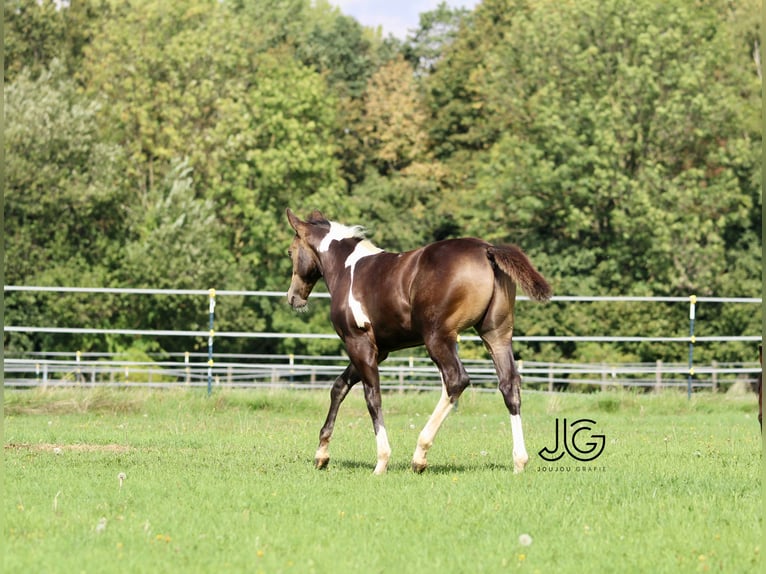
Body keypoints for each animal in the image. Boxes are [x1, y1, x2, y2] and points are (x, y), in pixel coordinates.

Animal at [286, 209, 552, 474]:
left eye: (290, 251)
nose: (293, 297)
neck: (347, 269)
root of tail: (487, 249)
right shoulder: (379, 350)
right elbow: (339, 387)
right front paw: (321, 454)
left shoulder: (358, 343)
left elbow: (372, 397)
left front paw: (382, 461)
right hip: (495, 335)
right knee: (509, 385)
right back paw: (519, 462)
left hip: (437, 338)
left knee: (456, 380)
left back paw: (420, 455)